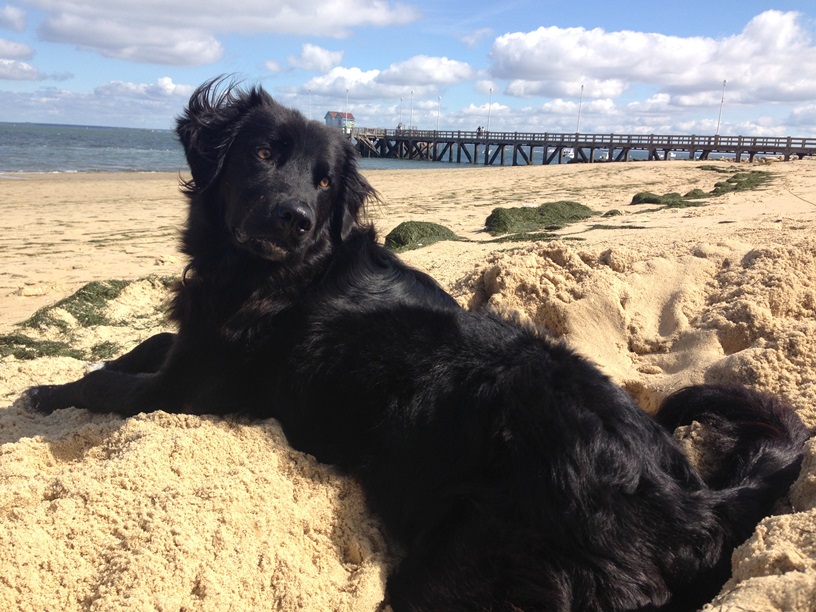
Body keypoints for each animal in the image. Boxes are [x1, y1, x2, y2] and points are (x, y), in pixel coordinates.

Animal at [27, 79, 808, 608]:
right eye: (262, 152)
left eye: (323, 180)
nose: (296, 218)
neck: (271, 273)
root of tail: (691, 502)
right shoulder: (194, 344)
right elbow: (142, 346)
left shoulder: (197, 386)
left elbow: (109, 382)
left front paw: (44, 390)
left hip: (464, 567)